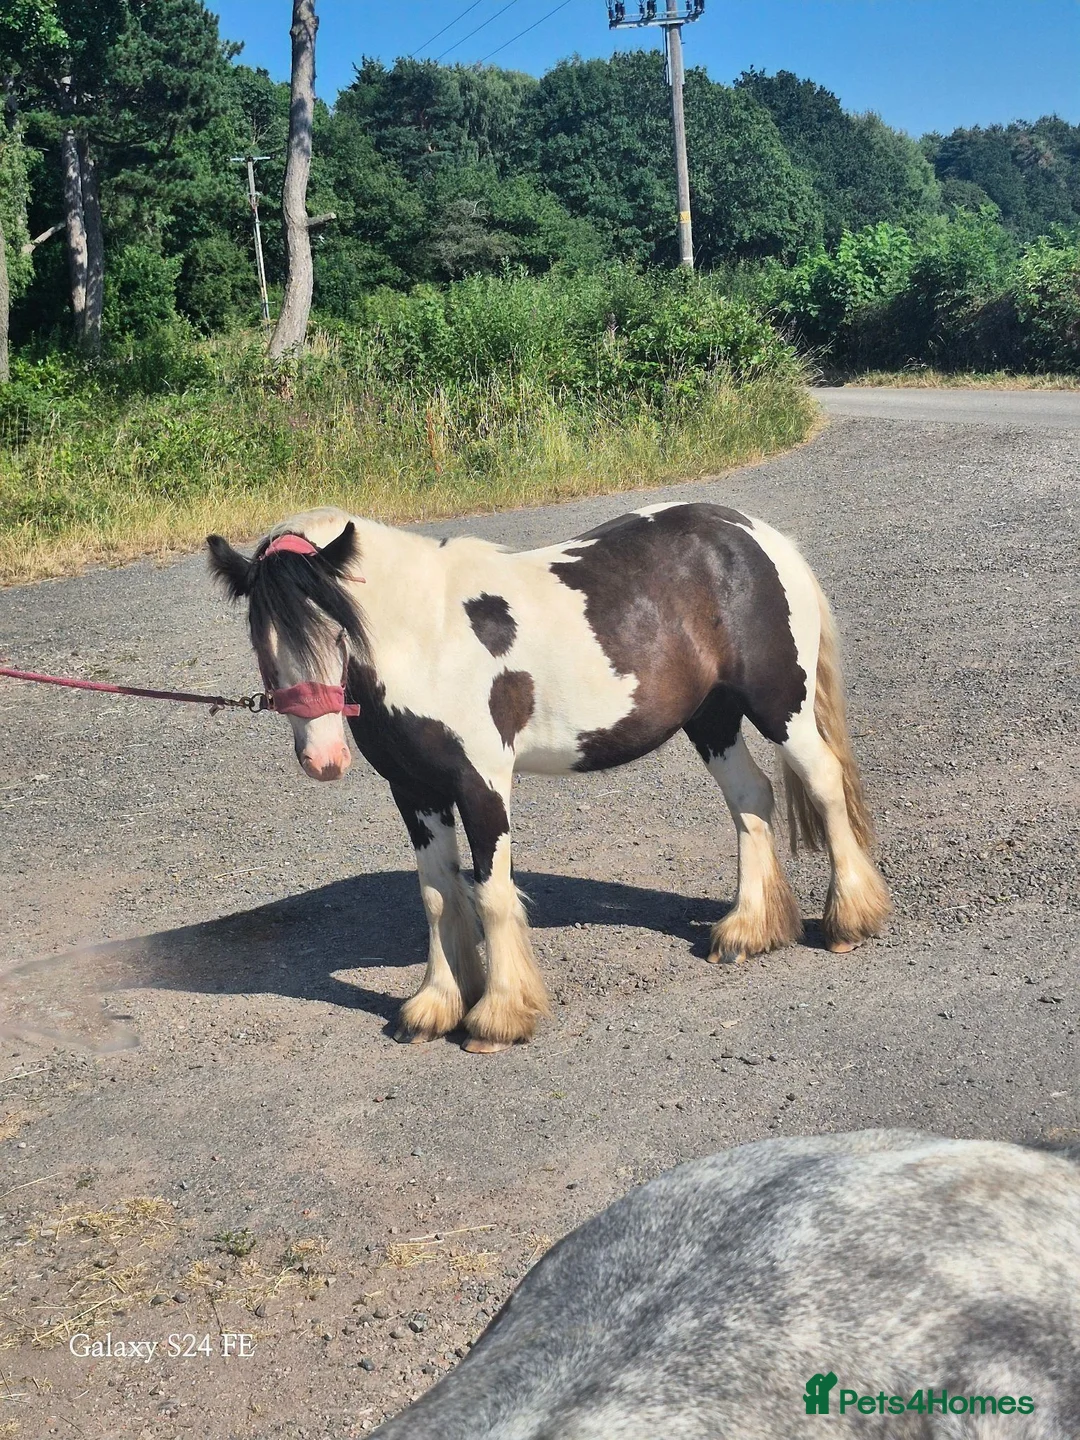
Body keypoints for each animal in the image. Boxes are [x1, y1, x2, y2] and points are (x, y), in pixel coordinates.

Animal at [206, 500, 890, 1052]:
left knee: (824, 785)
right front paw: (434, 1007)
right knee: (751, 797)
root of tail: (756, 535)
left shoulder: (481, 784)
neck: (426, 635)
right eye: (262, 639)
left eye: (335, 626)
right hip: (712, 716)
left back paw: (849, 922)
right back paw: (747, 930)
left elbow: (491, 893)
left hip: (780, 708)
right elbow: (436, 893)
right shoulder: (416, 791)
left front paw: (498, 1017)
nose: (323, 759)